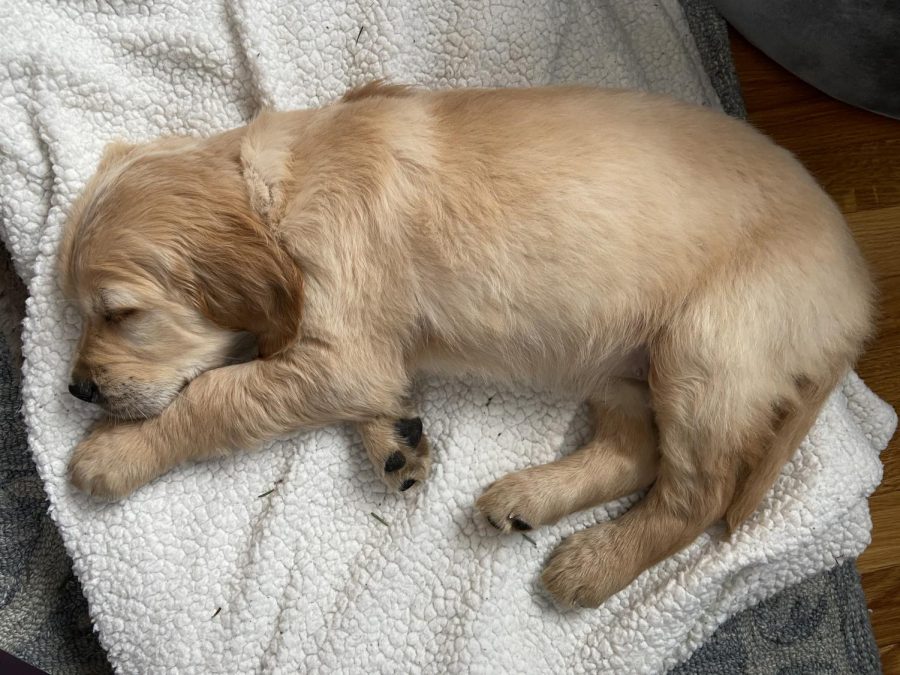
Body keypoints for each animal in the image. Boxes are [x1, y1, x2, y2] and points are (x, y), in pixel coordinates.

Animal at [56, 84, 872, 608]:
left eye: (120, 313)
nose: (78, 390)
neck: (278, 194)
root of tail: (857, 293)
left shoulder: (340, 350)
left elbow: (219, 393)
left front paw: (115, 451)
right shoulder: (357, 355)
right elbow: (361, 387)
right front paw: (396, 441)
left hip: (706, 350)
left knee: (700, 493)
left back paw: (592, 565)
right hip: (621, 357)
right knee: (636, 452)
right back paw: (529, 498)